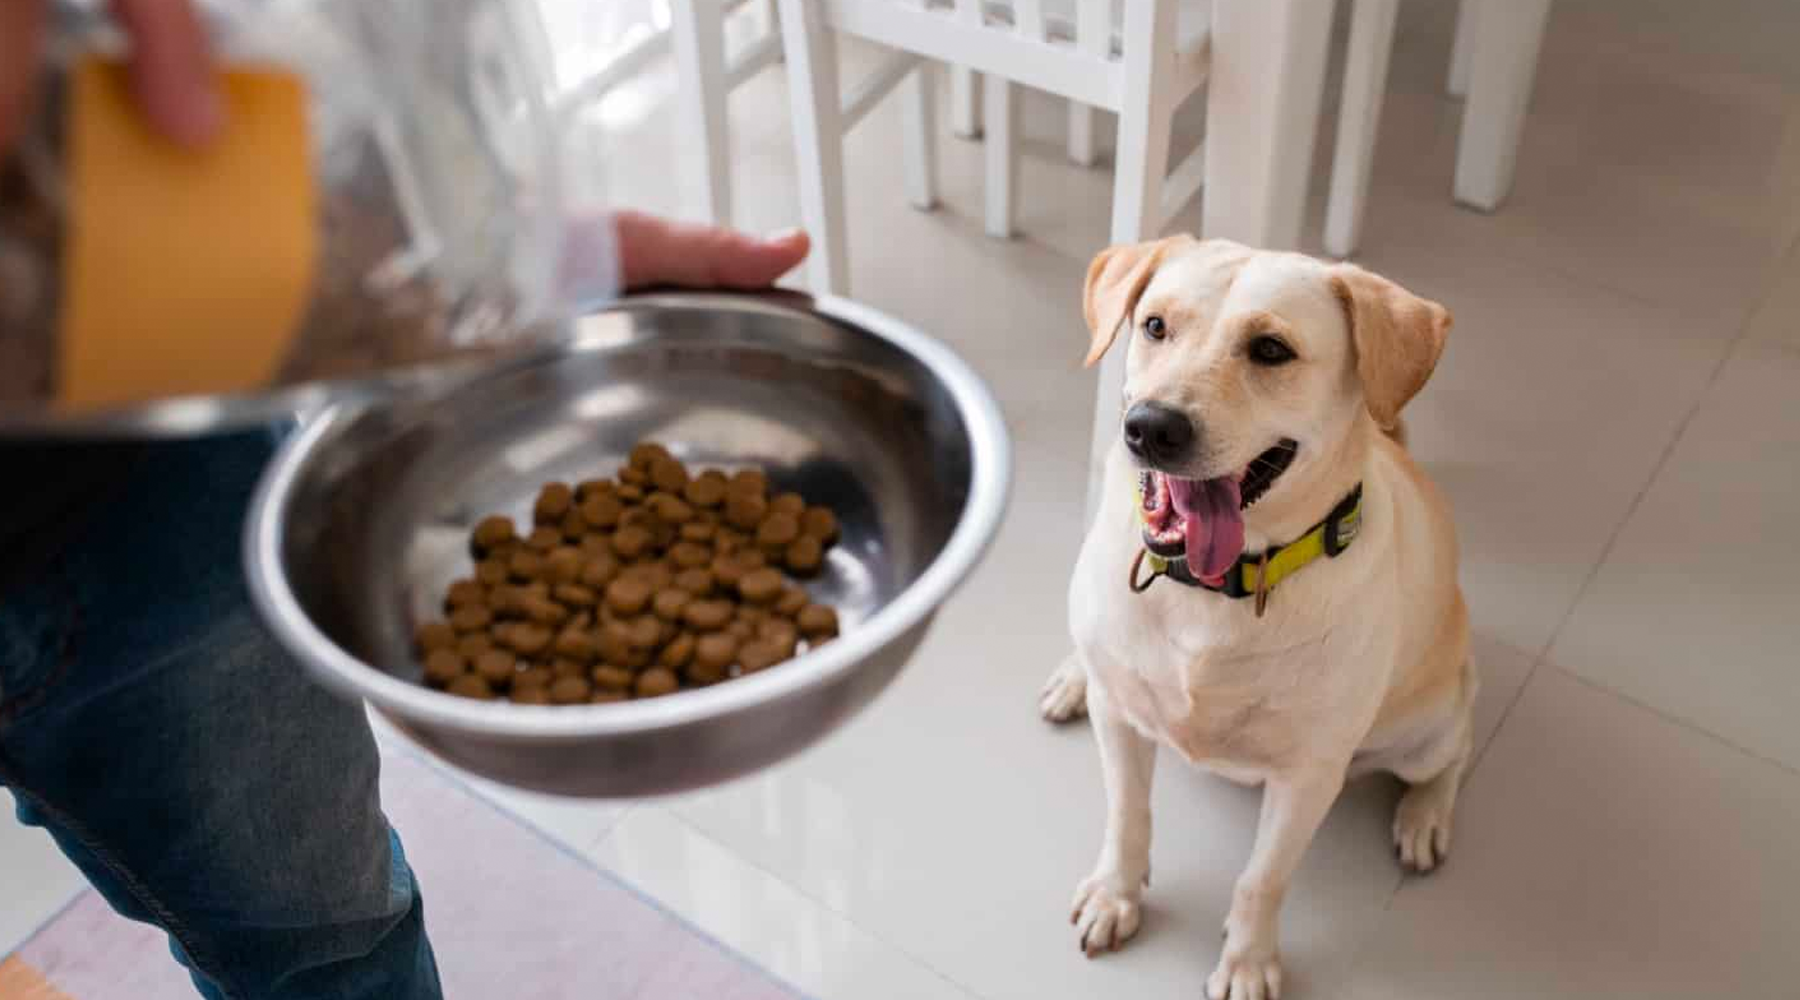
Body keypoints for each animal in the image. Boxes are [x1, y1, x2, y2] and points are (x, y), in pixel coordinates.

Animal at [1044, 235, 1476, 1000]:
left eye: (1272, 349)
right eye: (1155, 326)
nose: (1150, 427)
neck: (1213, 591)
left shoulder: (1307, 777)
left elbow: (1262, 880)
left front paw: (1247, 961)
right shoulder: (1120, 721)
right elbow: (1128, 815)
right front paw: (1115, 895)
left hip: (1425, 726)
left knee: (1457, 749)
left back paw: (1425, 816)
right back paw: (1073, 676)